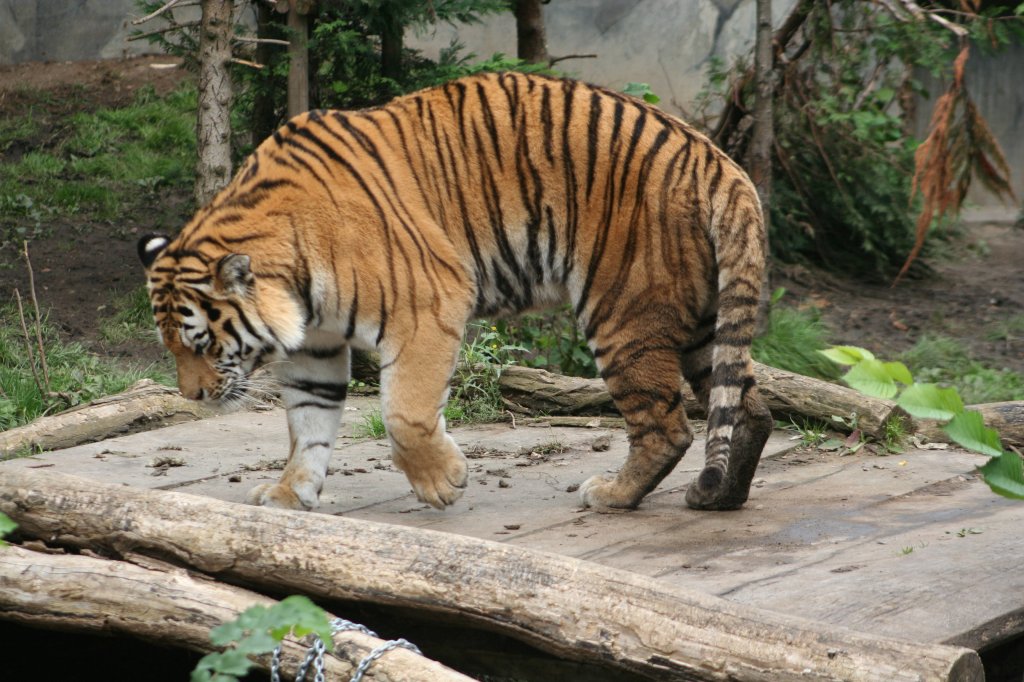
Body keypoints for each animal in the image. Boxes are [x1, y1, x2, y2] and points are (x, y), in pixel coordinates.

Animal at [140, 71, 770, 512]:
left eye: (199, 344)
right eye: (169, 345)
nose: (193, 397)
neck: (294, 283)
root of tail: (716, 158)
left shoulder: (427, 305)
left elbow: (404, 415)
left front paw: (443, 482)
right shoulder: (313, 346)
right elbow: (308, 425)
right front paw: (290, 494)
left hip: (622, 312)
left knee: (668, 426)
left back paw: (614, 494)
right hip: (702, 320)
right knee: (746, 407)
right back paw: (717, 497)